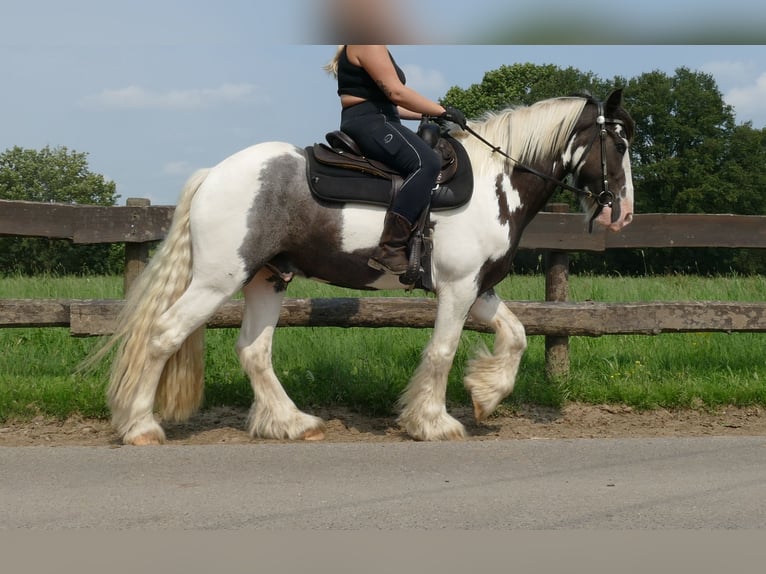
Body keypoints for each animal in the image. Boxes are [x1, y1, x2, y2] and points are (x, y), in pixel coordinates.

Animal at [97, 89, 636, 446]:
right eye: (621, 145)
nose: (625, 213)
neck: (494, 185)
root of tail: (214, 174)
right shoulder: (458, 289)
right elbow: (442, 352)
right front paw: (433, 421)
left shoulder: (479, 289)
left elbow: (518, 335)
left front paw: (486, 394)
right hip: (216, 280)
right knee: (164, 334)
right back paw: (141, 426)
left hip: (267, 280)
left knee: (253, 350)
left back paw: (291, 423)